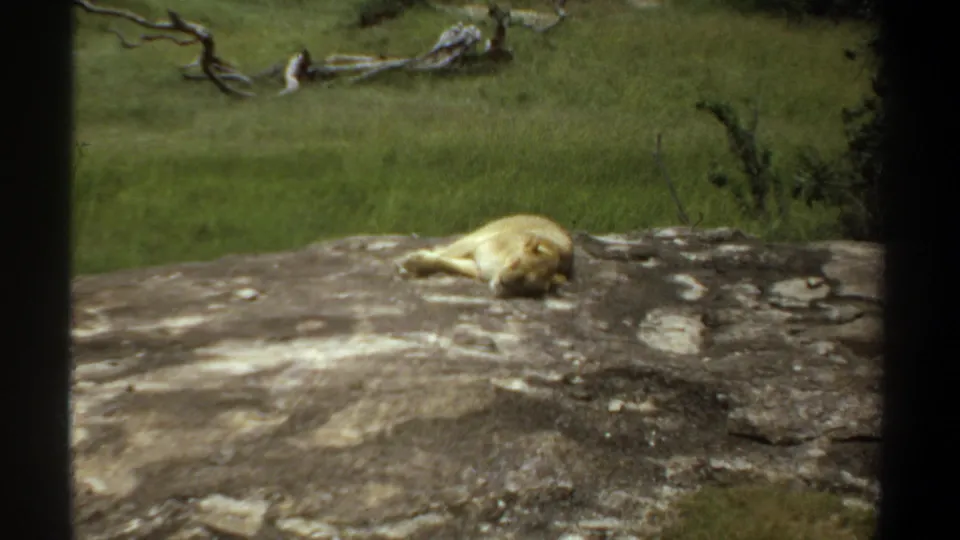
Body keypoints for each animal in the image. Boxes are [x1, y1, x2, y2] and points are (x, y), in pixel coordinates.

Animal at [394, 214, 575, 298]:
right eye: (516, 262)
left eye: (525, 283)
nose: (503, 282)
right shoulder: (477, 243)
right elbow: (445, 254)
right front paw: (411, 262)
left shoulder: (477, 268)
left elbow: (445, 262)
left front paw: (415, 264)